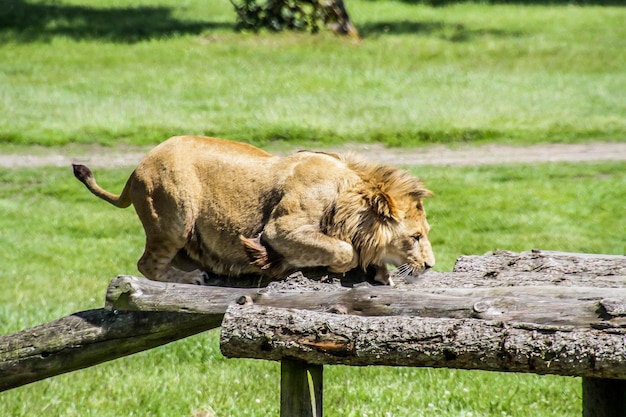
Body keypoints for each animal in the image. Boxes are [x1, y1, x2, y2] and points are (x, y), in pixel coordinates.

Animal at [72, 135, 434, 284]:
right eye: (415, 237)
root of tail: (137, 168)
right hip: (174, 215)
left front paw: (381, 271)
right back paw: (194, 277)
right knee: (147, 264)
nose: (430, 265)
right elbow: (343, 251)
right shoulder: (281, 229)